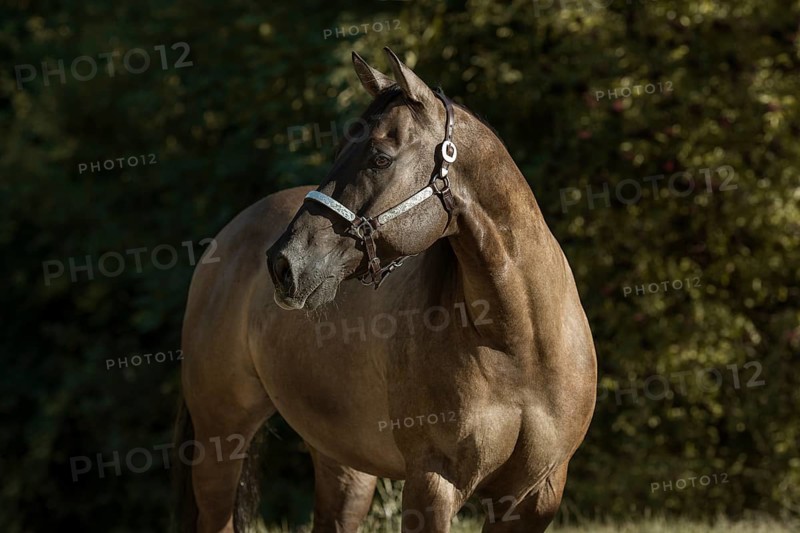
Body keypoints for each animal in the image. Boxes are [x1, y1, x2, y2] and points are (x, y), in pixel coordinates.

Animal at [175, 47, 597, 533]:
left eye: (379, 157)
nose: (283, 264)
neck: (519, 342)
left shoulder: (535, 493)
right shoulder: (433, 483)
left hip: (343, 462)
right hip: (220, 440)